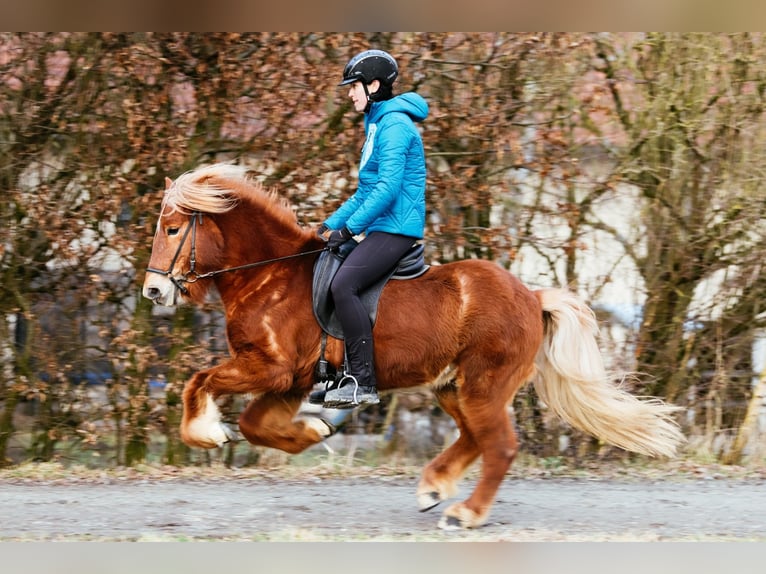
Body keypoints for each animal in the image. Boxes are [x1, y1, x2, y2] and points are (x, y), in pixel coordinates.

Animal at [142, 164, 684, 528]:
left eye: (173, 229)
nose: (153, 291)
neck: (267, 275)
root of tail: (531, 296)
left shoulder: (270, 368)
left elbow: (200, 381)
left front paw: (205, 433)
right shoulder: (289, 382)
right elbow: (256, 425)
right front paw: (314, 430)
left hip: (484, 385)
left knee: (500, 446)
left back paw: (466, 513)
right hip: (454, 387)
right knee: (473, 438)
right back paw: (433, 487)